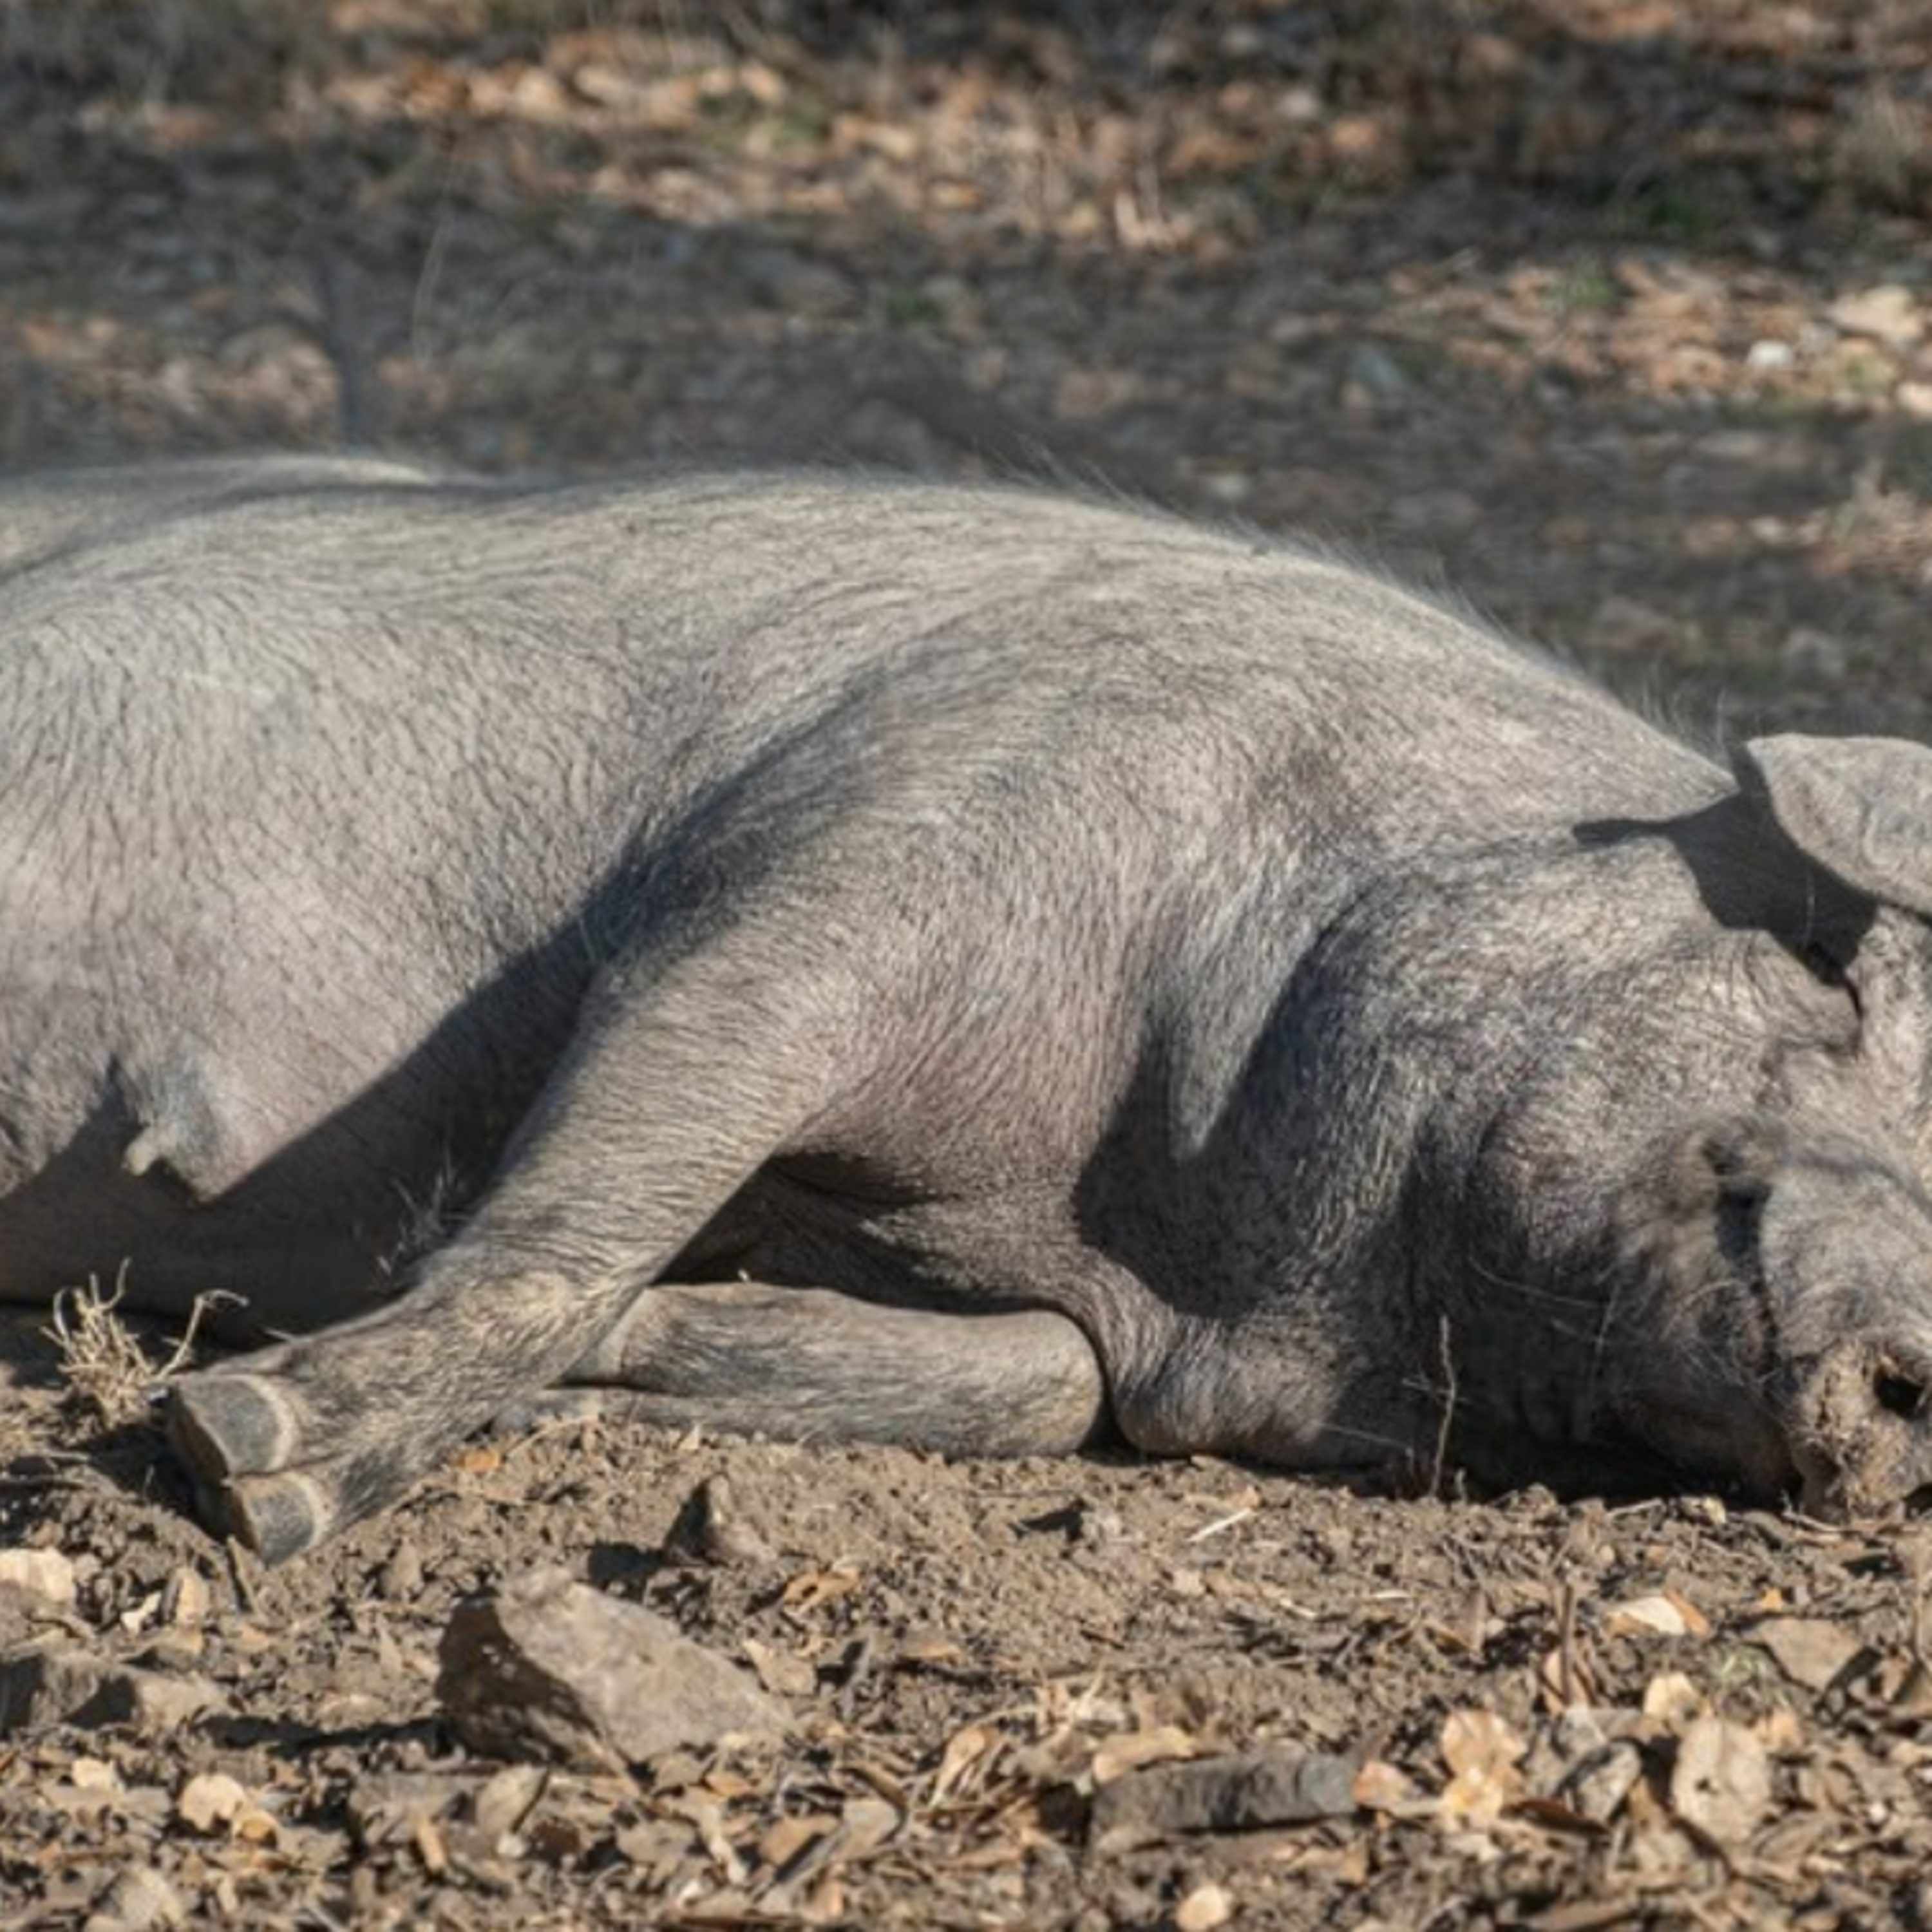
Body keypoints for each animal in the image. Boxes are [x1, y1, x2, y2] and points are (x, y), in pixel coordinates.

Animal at [3, 455, 1930, 1565]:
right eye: (1840, 981)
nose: (1909, 1346)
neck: (1174, 1223)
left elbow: (1042, 1388)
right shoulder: (851, 862)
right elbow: (608, 1169)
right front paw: (241, 1456)